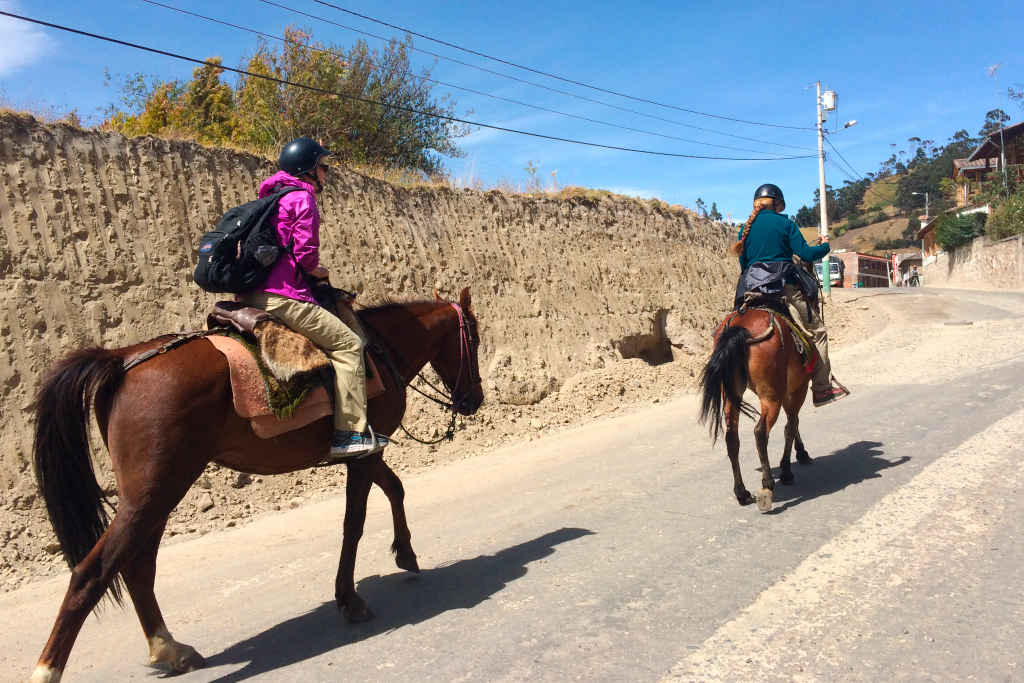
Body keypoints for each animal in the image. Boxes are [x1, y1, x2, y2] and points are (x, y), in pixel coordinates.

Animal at [700, 305, 811, 511]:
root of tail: (741, 327)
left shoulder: (786, 391)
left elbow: (794, 422)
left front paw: (801, 453)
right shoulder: (800, 387)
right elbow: (791, 426)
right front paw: (787, 470)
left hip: (732, 395)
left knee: (731, 437)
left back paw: (742, 493)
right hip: (770, 396)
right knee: (760, 432)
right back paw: (767, 486)